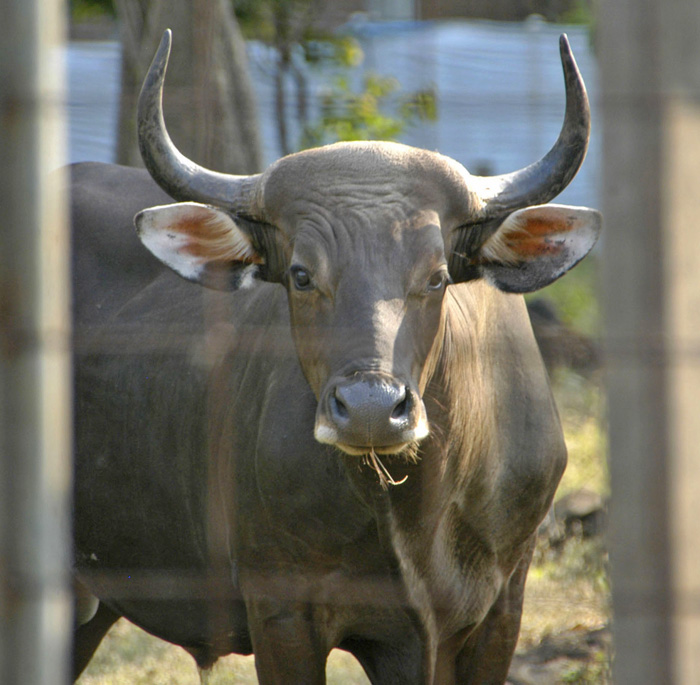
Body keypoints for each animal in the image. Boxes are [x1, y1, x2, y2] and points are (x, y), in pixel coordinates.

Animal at [71, 29, 600, 680]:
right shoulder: (282, 610)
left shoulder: (501, 608)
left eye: (437, 276)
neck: (413, 519)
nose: (371, 408)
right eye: (301, 274)